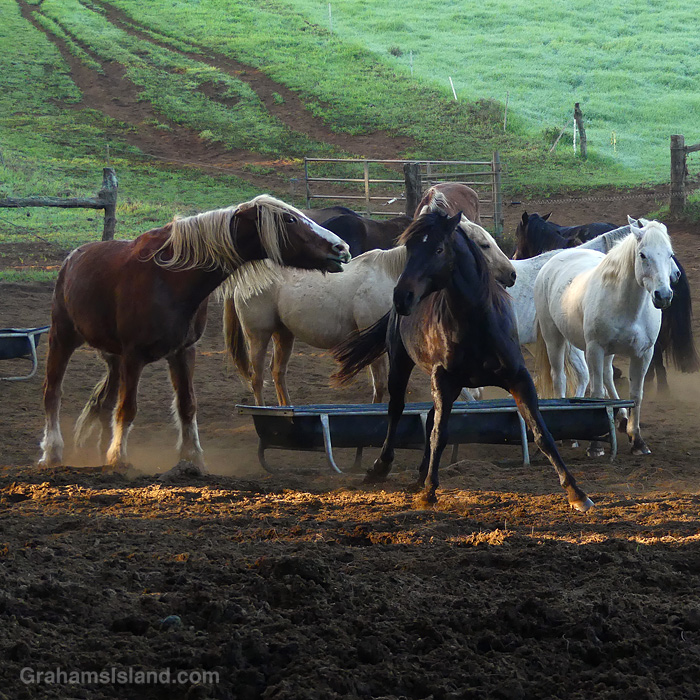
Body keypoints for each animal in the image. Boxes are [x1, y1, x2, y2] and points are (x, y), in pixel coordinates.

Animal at [39, 195, 351, 471]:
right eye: (289, 219)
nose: (341, 247)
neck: (169, 279)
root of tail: (71, 259)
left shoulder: (183, 352)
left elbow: (187, 406)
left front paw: (192, 458)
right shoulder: (133, 356)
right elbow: (128, 408)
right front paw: (119, 458)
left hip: (113, 359)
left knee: (104, 404)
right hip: (63, 339)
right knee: (53, 393)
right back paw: (53, 451)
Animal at [224, 216, 516, 405]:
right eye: (483, 244)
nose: (511, 274)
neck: (391, 276)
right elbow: (381, 385)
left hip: (283, 334)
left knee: (277, 373)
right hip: (258, 335)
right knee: (257, 377)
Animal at [331, 210, 593, 512]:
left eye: (438, 249)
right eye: (409, 249)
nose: (402, 296)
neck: (478, 324)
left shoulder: (518, 379)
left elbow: (542, 433)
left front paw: (576, 492)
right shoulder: (444, 380)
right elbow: (439, 434)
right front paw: (429, 491)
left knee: (428, 418)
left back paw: (419, 475)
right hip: (400, 363)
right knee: (396, 410)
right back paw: (382, 467)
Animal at [534, 217, 677, 456]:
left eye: (669, 254)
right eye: (642, 255)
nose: (663, 296)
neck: (627, 306)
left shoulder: (643, 354)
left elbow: (636, 395)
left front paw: (637, 440)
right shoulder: (595, 350)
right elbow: (597, 393)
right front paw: (595, 447)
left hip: (607, 353)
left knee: (608, 376)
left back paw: (621, 418)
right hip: (554, 339)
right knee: (559, 378)